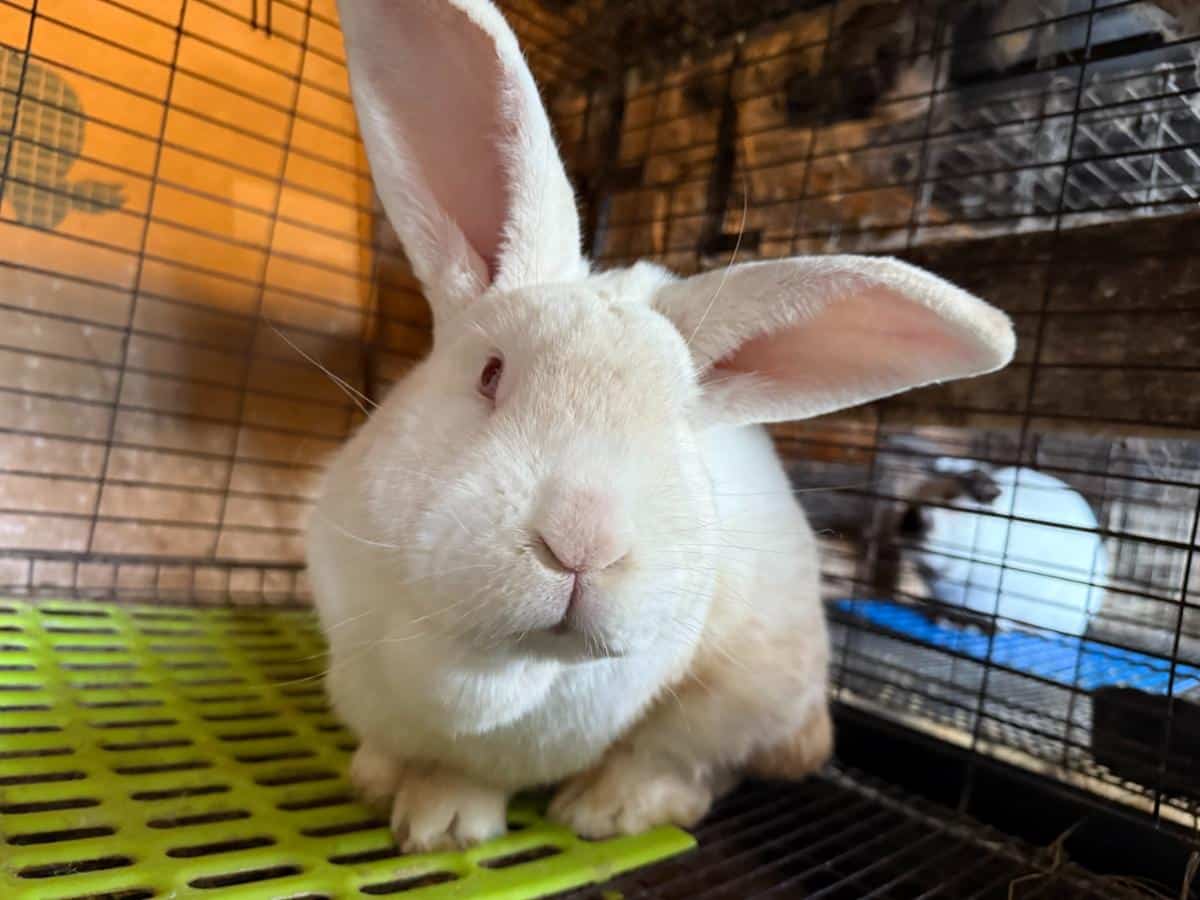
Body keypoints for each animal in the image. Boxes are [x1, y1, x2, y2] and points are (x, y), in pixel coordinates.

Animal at [307, 0, 1015, 853]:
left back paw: (604, 809)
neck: (477, 665)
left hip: (737, 696)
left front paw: (443, 829)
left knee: (694, 771)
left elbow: (470, 777)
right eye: (490, 373)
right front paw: (379, 781)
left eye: (679, 425)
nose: (581, 544)